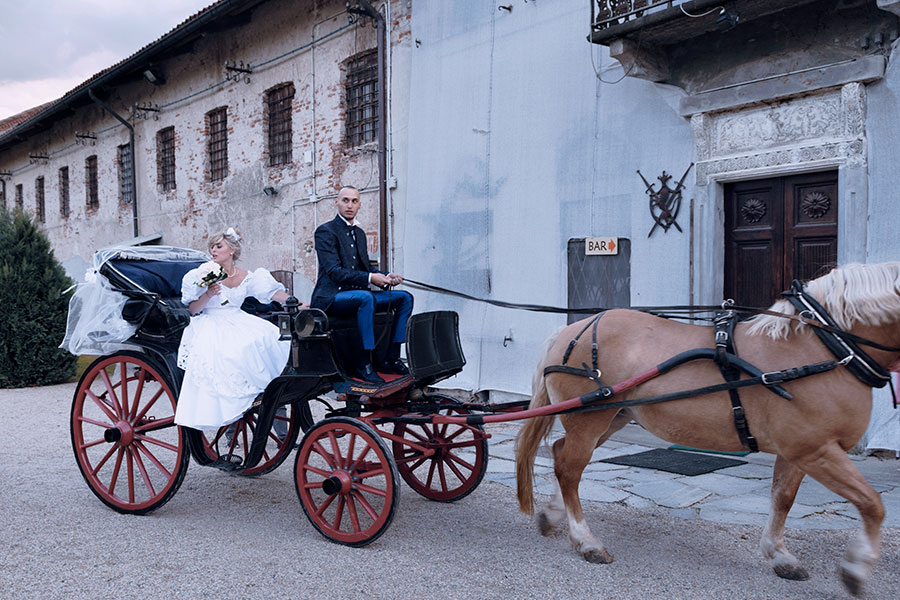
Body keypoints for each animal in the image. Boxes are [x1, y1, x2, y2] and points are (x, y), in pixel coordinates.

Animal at [512, 262, 900, 596]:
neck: (823, 346)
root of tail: (569, 330)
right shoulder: (816, 449)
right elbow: (873, 504)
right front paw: (855, 568)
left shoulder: (798, 451)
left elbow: (783, 499)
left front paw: (779, 555)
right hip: (589, 420)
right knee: (569, 469)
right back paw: (586, 541)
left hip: (612, 416)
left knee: (562, 457)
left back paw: (554, 515)